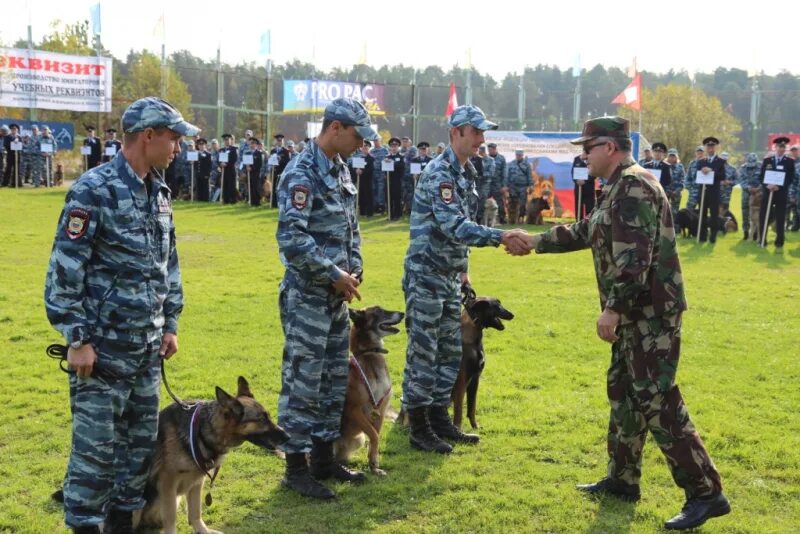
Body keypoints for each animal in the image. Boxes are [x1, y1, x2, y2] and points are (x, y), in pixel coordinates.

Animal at [334, 308, 404, 480]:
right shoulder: (354, 410)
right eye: (379, 311)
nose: (403, 314)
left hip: (358, 439)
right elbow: (374, 435)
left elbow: (375, 438)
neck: (370, 354)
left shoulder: (380, 410)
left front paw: (374, 466)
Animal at [454, 284, 516, 432]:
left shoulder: (475, 379)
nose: (512, 315)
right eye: (497, 306)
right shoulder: (462, 381)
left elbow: (472, 407)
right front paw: (458, 430)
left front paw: (475, 426)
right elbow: (459, 410)